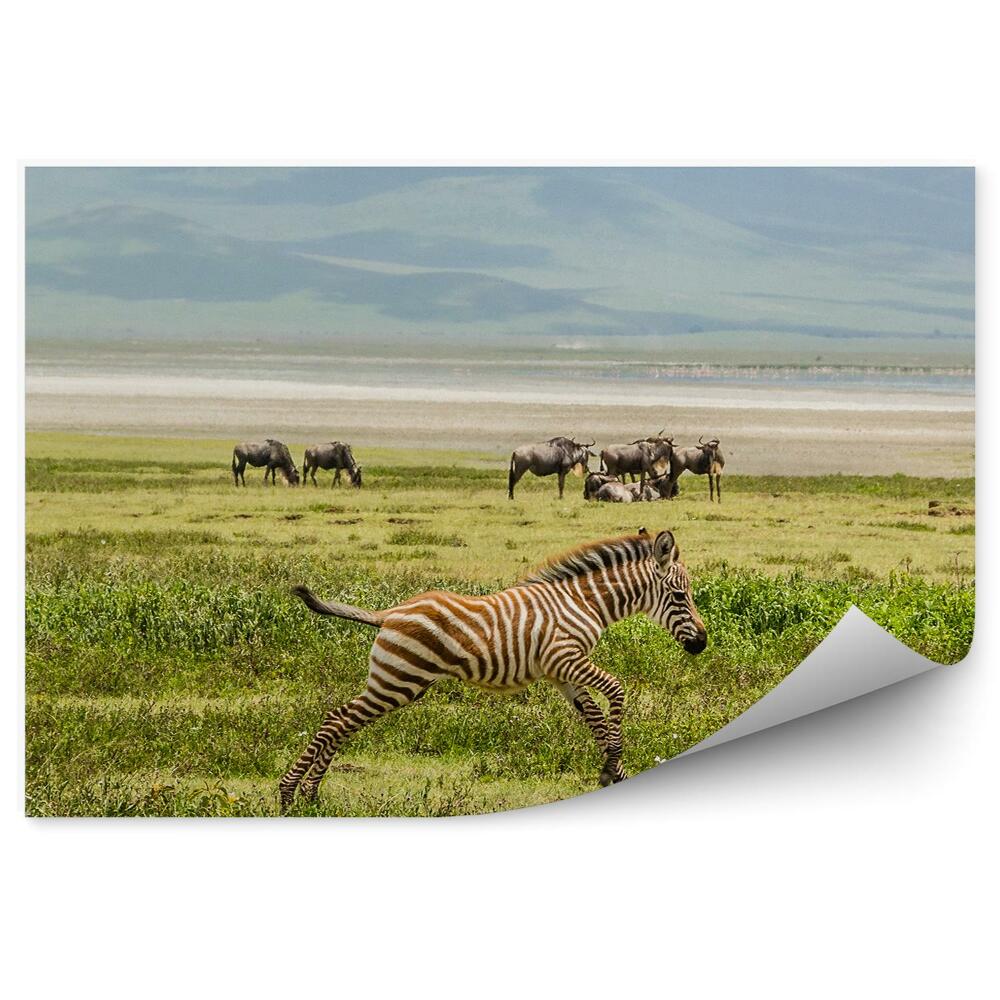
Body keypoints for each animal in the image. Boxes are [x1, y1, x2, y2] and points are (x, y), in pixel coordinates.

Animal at [280, 527, 707, 811]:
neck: (585, 602)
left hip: (397, 681)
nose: (702, 643)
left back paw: (309, 794)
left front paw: (614, 776)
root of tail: (388, 613)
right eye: (680, 596)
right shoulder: (566, 657)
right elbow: (616, 691)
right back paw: (289, 795)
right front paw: (613, 766)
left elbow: (596, 721)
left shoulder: (561, 672)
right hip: (398, 680)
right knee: (336, 720)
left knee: (341, 721)